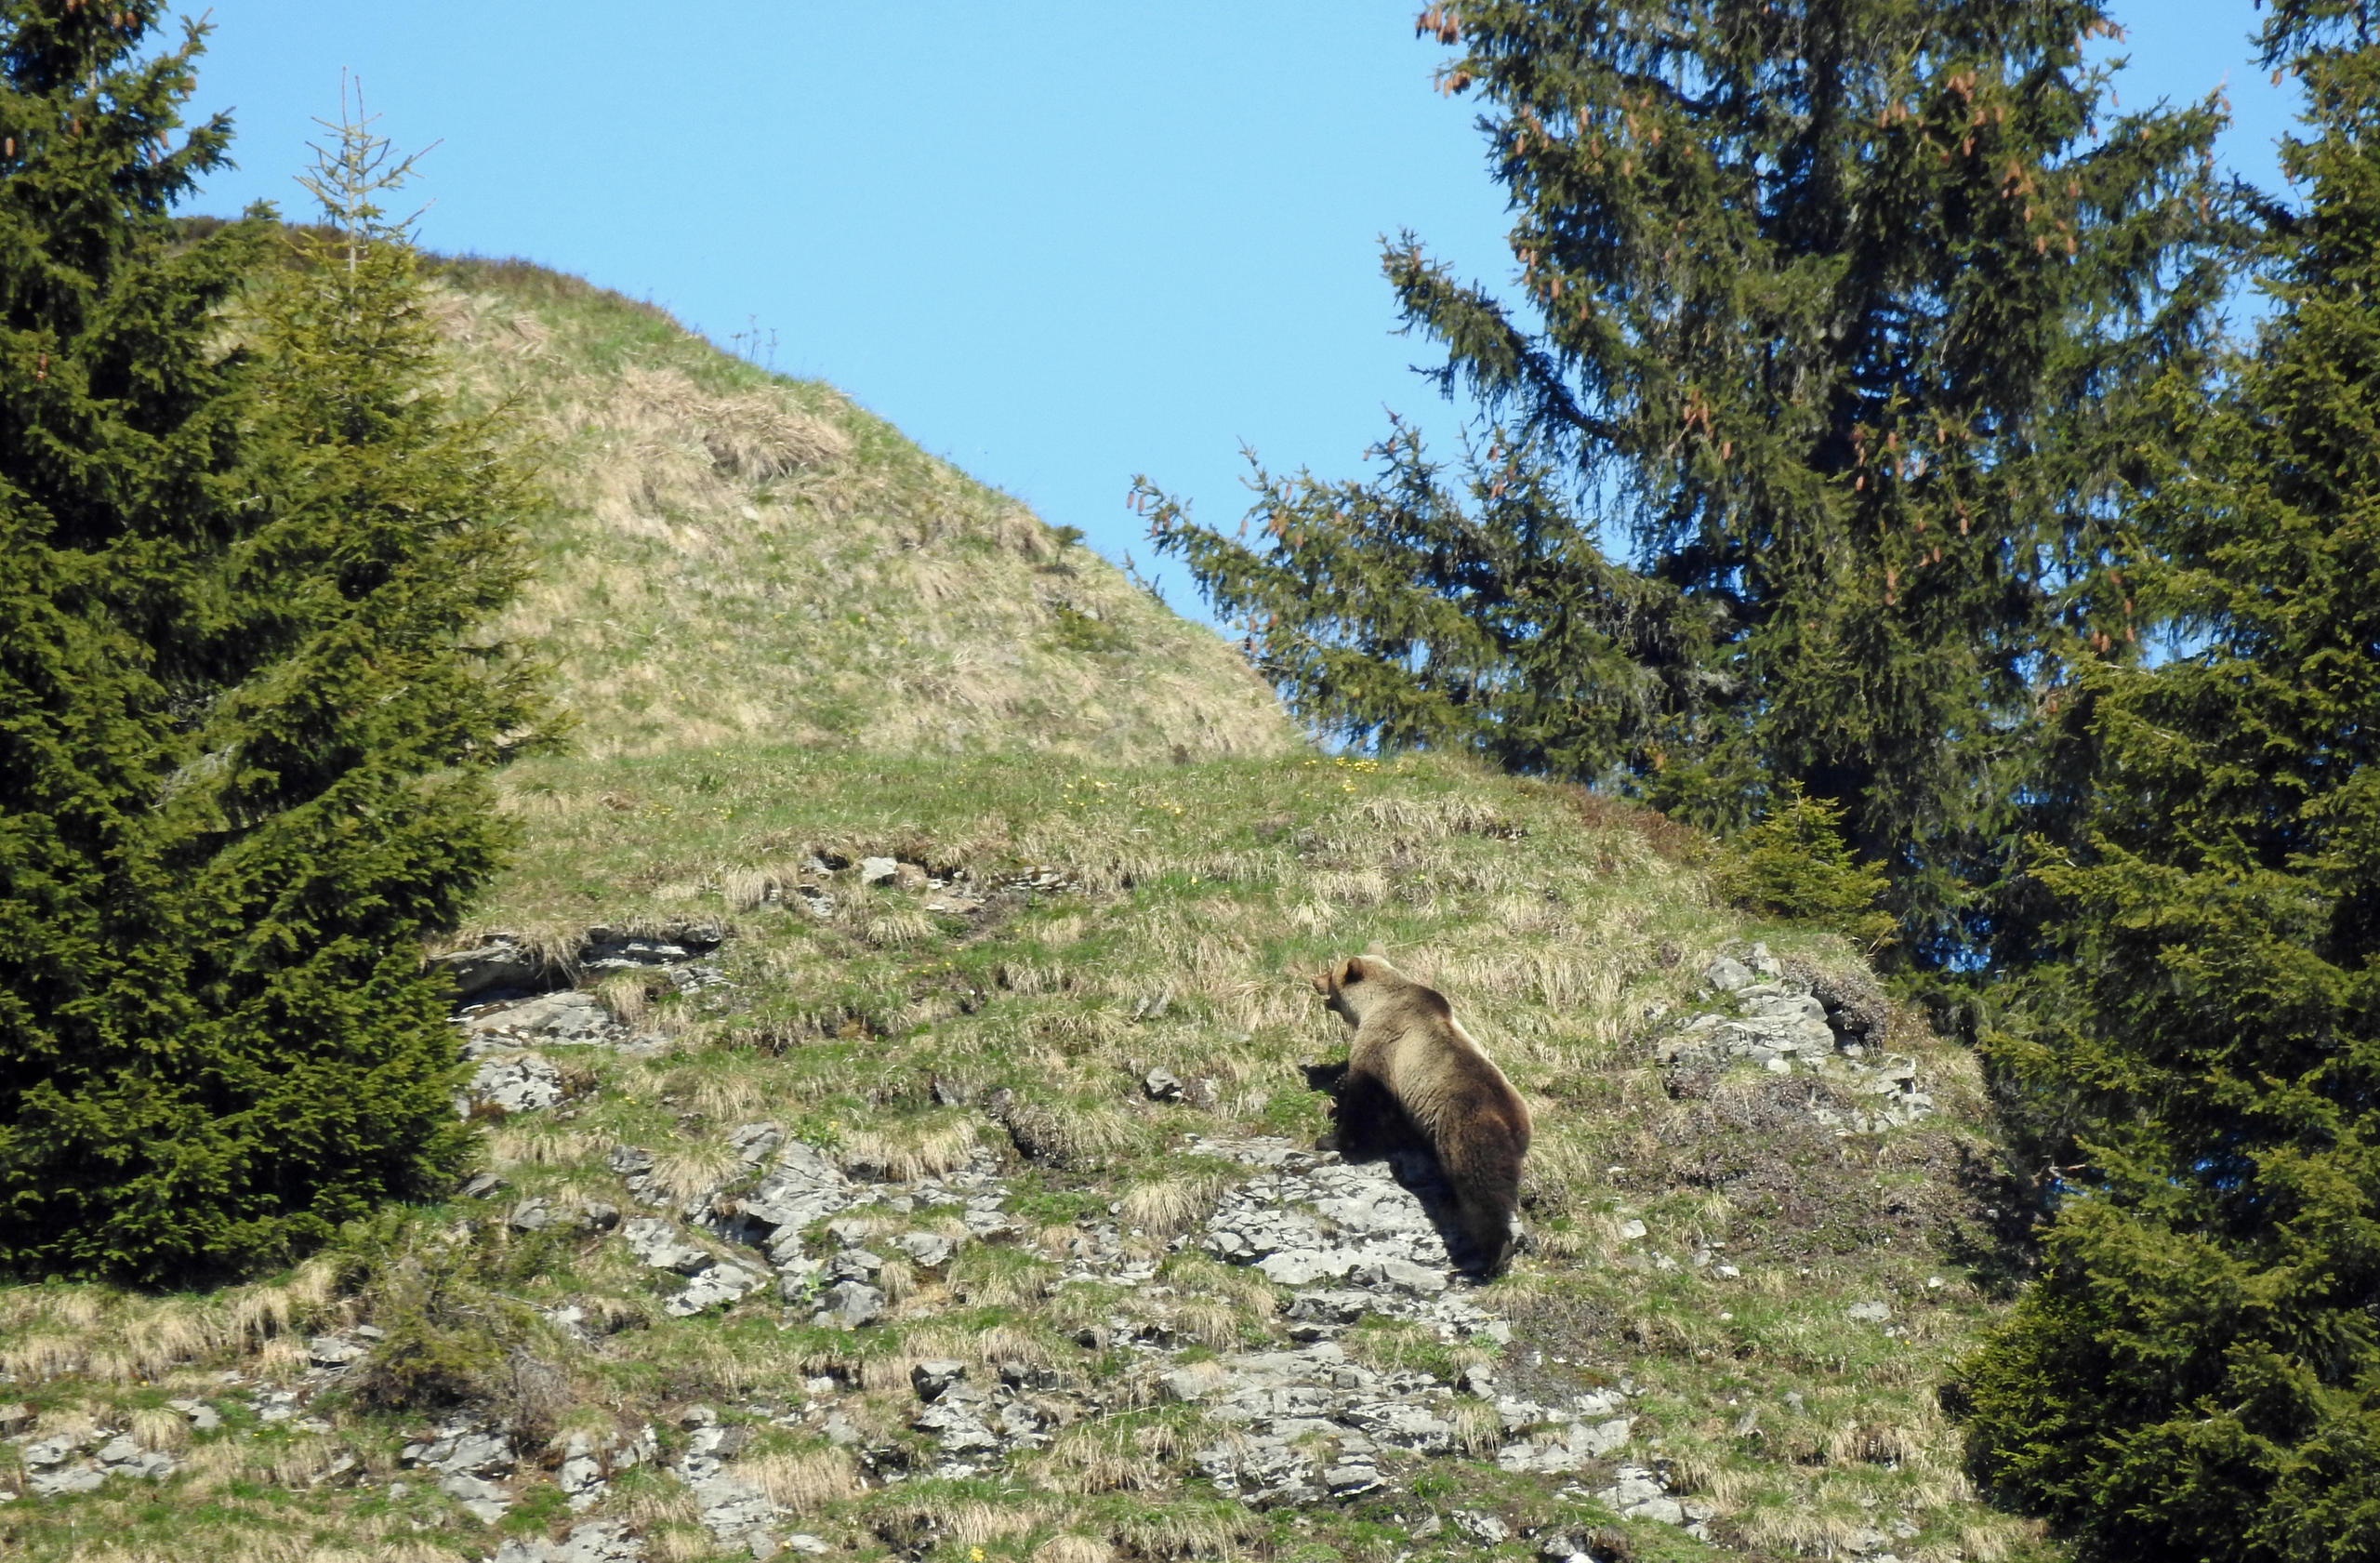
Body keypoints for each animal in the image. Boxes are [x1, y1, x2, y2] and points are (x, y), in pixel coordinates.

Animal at [1314, 951, 1532, 1265]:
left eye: (1331, 972)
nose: (1314, 980)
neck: (1374, 1003)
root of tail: (1514, 1122)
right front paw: (1339, 1084)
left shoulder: (1385, 1044)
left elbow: (1366, 1100)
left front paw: (1332, 1138)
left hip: (1466, 1132)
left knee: (1481, 1190)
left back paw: (1491, 1252)